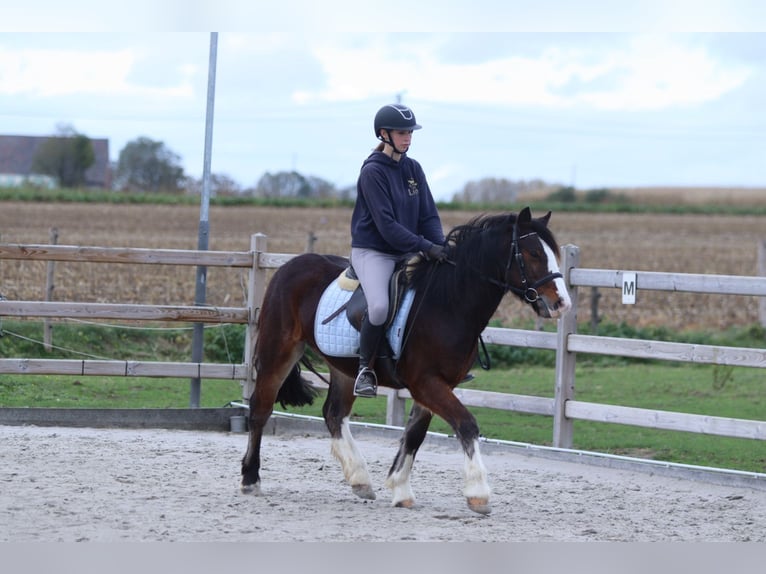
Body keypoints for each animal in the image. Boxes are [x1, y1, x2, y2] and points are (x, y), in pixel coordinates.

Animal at [240, 207, 572, 514]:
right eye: (532, 253)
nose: (561, 304)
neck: (448, 303)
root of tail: (290, 266)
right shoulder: (425, 382)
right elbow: (466, 424)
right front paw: (478, 493)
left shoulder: (437, 385)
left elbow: (414, 435)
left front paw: (400, 490)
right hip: (278, 352)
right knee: (260, 409)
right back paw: (250, 480)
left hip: (343, 368)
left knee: (334, 414)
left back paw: (360, 480)